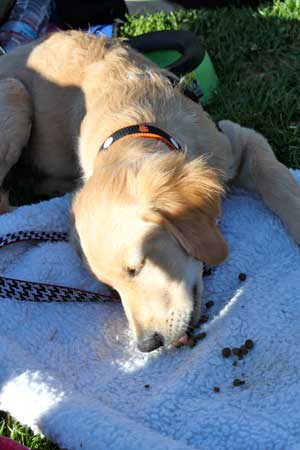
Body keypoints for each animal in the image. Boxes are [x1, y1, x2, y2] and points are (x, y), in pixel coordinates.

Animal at [0, 33, 300, 354]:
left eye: (137, 267)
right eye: (110, 288)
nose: (147, 345)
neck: (134, 123)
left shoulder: (233, 139)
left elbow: (277, 177)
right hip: (14, 92)